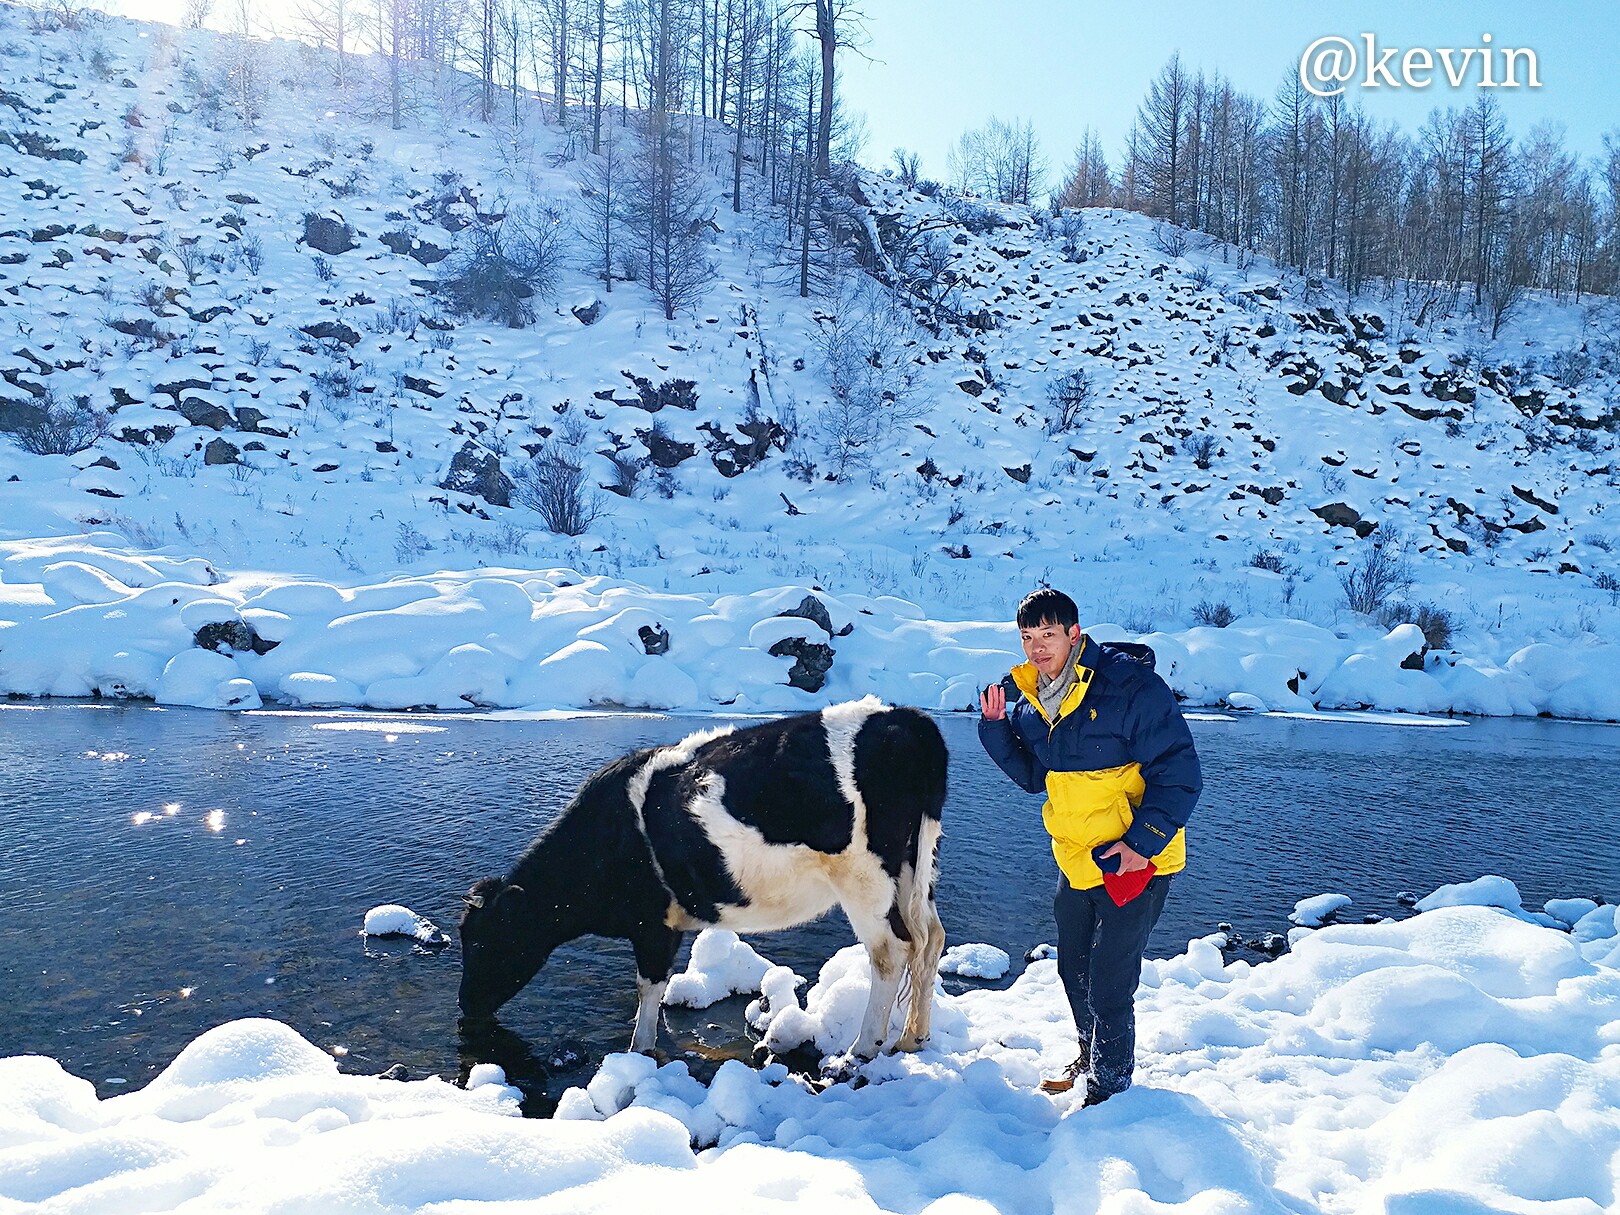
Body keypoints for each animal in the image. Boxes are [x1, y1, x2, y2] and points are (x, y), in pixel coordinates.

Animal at [460, 699, 946, 1069]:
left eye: (487, 940)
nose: (465, 1005)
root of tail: (903, 716)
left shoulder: (653, 924)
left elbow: (649, 988)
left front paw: (638, 1052)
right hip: (916, 868)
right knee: (929, 938)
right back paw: (913, 1038)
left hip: (866, 878)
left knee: (891, 950)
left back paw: (862, 1049)